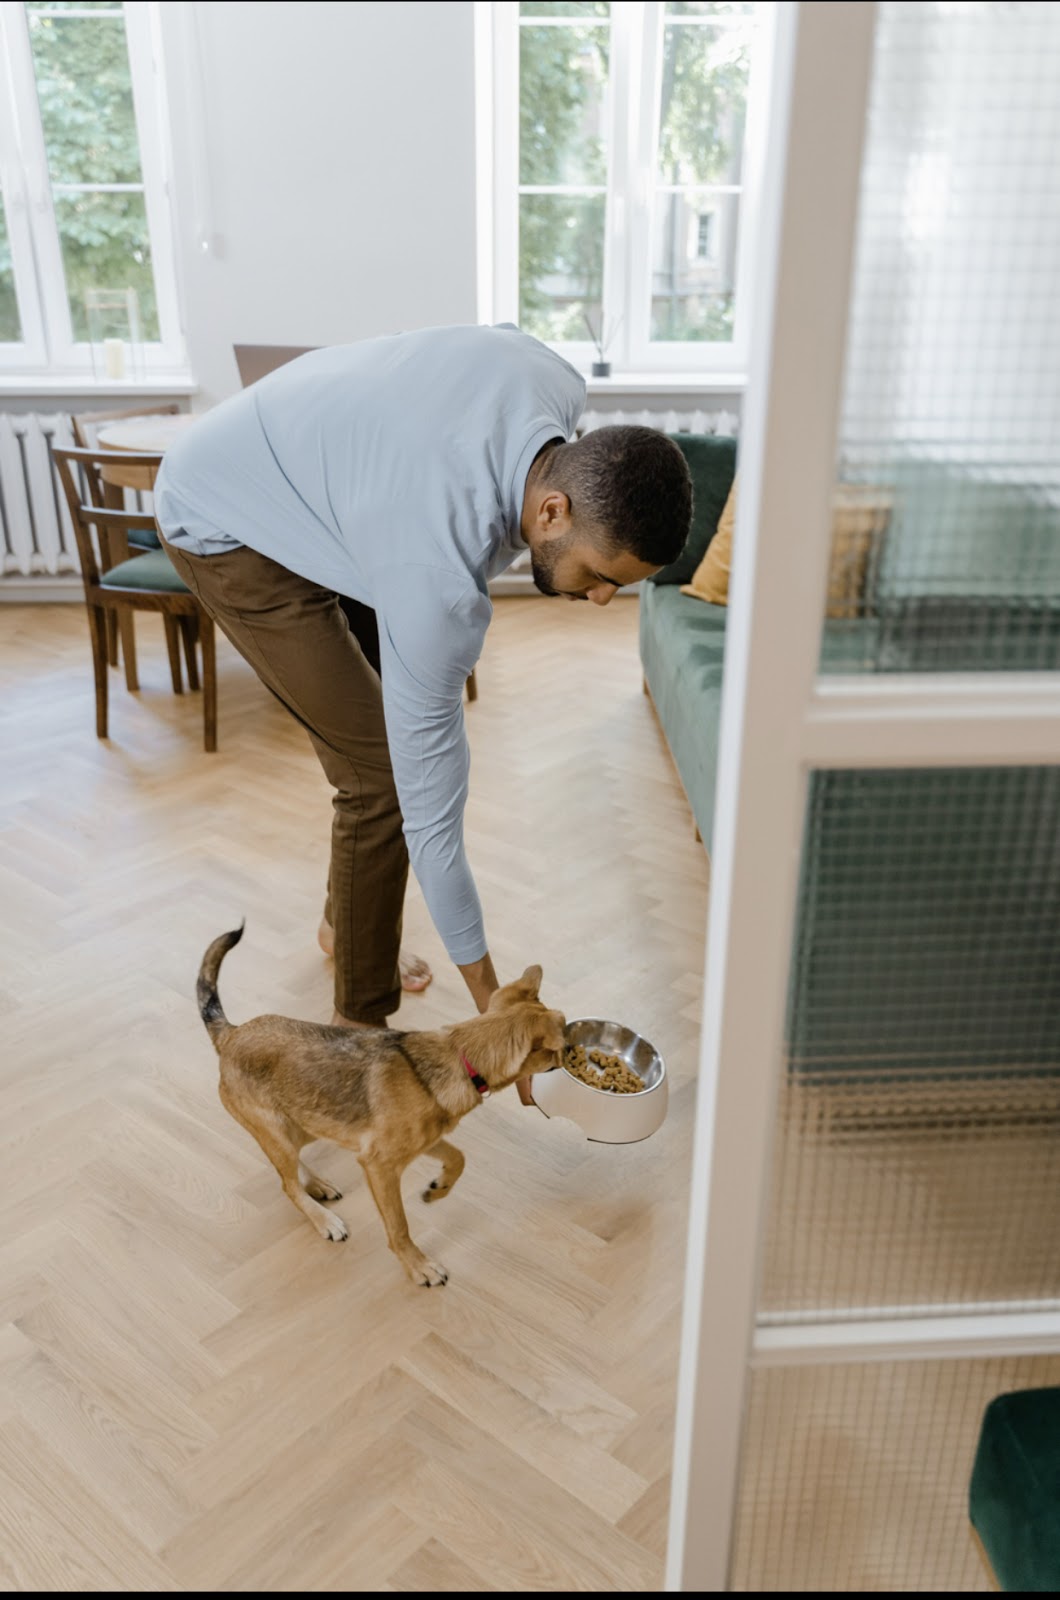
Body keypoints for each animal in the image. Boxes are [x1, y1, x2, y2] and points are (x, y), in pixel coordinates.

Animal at [196, 928, 570, 1286]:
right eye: (564, 1042)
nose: (572, 1050)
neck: (459, 1056)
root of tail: (230, 1034)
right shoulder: (379, 1165)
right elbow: (398, 1226)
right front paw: (419, 1267)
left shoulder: (425, 1141)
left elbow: (458, 1158)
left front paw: (438, 1189)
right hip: (278, 1130)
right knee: (287, 1186)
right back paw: (325, 1221)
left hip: (304, 1123)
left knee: (294, 1170)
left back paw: (317, 1185)